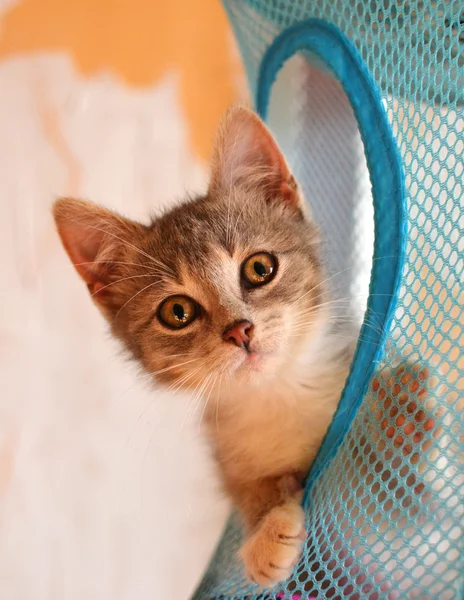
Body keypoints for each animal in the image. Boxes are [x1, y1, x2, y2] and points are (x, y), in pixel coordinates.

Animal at [52, 106, 352, 584]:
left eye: (260, 268)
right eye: (177, 312)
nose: (240, 330)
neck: (278, 396)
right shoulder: (232, 465)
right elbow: (255, 492)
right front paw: (266, 531)